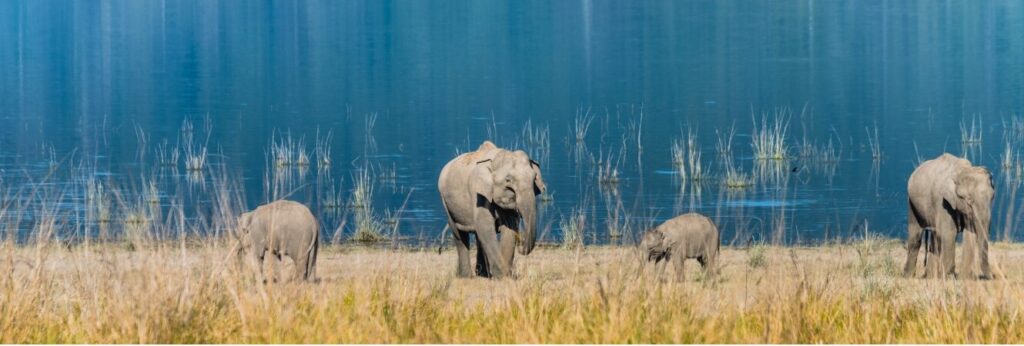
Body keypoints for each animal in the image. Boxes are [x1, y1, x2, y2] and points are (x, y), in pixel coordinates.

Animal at [440, 140, 552, 278]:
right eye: (508, 180)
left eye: (534, 178)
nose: (521, 244)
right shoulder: (478, 192)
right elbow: (485, 226)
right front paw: (501, 276)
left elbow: (509, 227)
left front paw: (506, 274)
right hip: (446, 202)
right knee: (459, 234)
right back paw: (466, 276)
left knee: (477, 236)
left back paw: (482, 273)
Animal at [905, 152, 991, 280]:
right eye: (969, 200)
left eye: (992, 198)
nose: (991, 276)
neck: (962, 170)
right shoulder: (943, 201)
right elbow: (949, 233)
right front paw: (950, 278)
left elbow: (970, 235)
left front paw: (963, 279)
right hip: (912, 203)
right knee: (916, 237)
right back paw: (908, 276)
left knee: (934, 238)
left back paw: (931, 276)